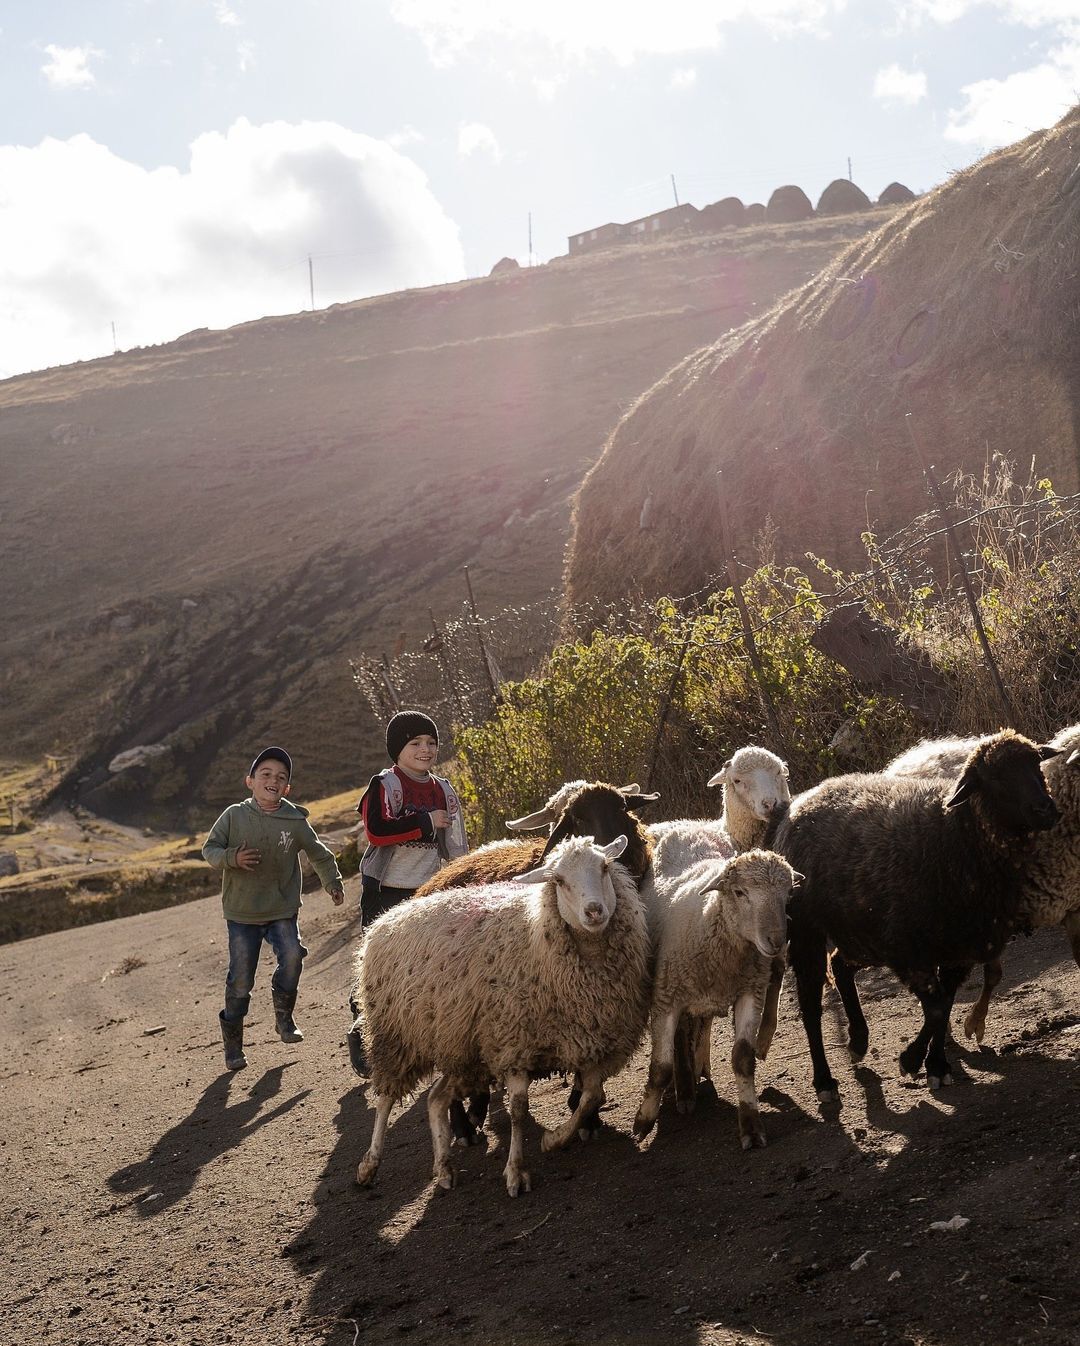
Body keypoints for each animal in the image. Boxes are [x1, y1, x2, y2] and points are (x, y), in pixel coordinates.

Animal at [352, 829, 649, 1200]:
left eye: (605, 867)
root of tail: (386, 918)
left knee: (435, 1099)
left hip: (461, 1047)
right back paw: (369, 1164)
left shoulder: (593, 1041)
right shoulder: (513, 1043)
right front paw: (516, 1171)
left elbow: (591, 1097)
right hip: (394, 1036)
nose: (594, 911)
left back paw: (444, 1167)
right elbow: (519, 1112)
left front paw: (555, 1139)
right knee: (385, 1100)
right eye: (559, 880)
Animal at [627, 850, 797, 1146]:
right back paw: (684, 1090)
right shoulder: (665, 999)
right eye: (740, 892)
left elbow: (743, 1059)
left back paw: (695, 1074)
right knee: (680, 1039)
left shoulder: (750, 992)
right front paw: (644, 1120)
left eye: (788, 893)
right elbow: (661, 1067)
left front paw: (751, 1126)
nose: (776, 941)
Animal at [770, 732, 1055, 1098]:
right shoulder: (907, 952)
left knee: (841, 966)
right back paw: (824, 1081)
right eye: (994, 779)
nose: (1046, 808)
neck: (954, 836)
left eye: (1037, 764)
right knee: (810, 1004)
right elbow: (936, 1008)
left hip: (861, 932)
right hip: (809, 930)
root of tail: (801, 802)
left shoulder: (957, 949)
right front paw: (911, 1060)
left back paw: (858, 1040)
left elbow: (945, 1003)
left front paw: (937, 1066)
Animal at [883, 726, 1077, 1039]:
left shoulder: (1072, 904)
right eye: (996, 780)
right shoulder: (993, 915)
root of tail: (910, 757)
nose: (1046, 810)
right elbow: (993, 974)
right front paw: (975, 1022)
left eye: (1037, 764)